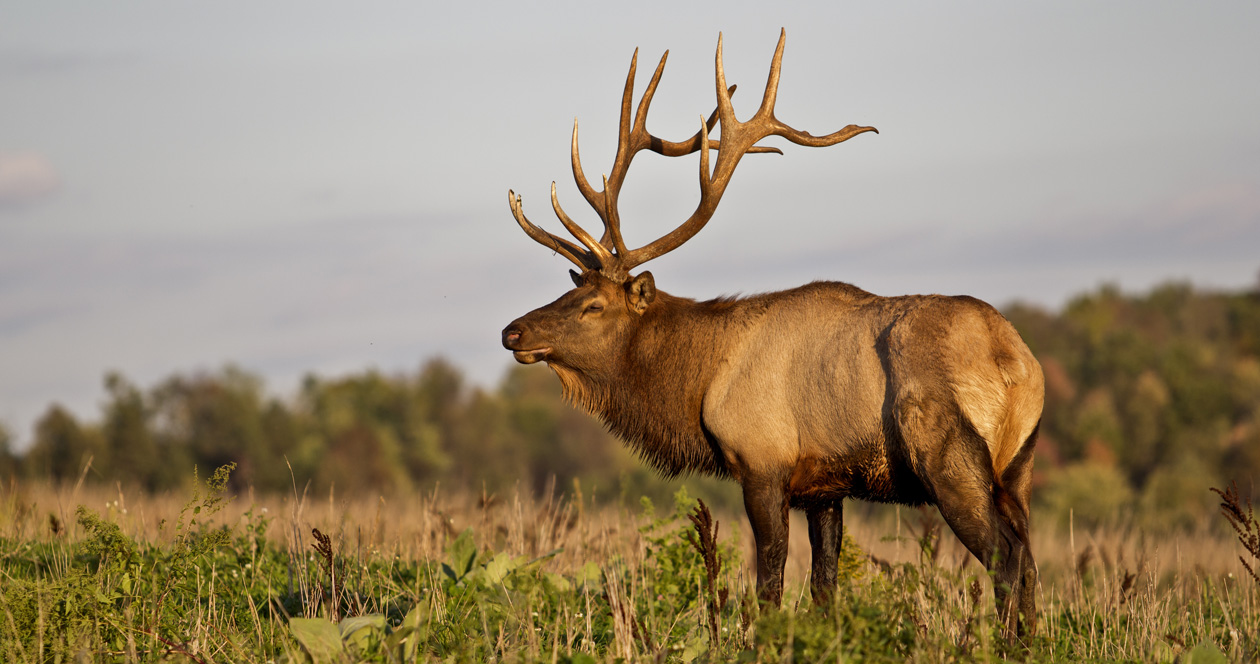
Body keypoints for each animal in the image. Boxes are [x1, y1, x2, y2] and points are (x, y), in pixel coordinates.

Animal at [501, 31, 1043, 640]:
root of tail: (1015, 363)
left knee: (1005, 557)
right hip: (1018, 468)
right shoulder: (826, 486)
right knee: (1029, 558)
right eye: (570, 290)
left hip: (948, 457)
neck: (699, 383)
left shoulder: (763, 463)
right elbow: (825, 587)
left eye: (593, 305)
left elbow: (770, 585)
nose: (512, 331)